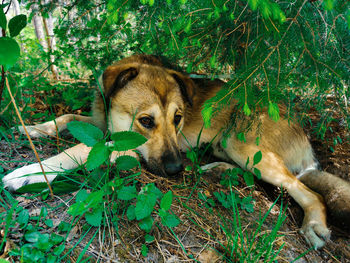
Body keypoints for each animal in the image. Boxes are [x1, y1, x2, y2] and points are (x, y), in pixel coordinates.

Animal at [2, 54, 350, 250]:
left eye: (178, 118)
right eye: (146, 120)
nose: (175, 170)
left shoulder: (121, 147)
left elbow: (78, 148)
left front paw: (27, 173)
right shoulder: (100, 126)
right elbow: (68, 117)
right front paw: (33, 128)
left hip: (242, 143)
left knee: (304, 189)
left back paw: (314, 224)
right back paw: (217, 169)